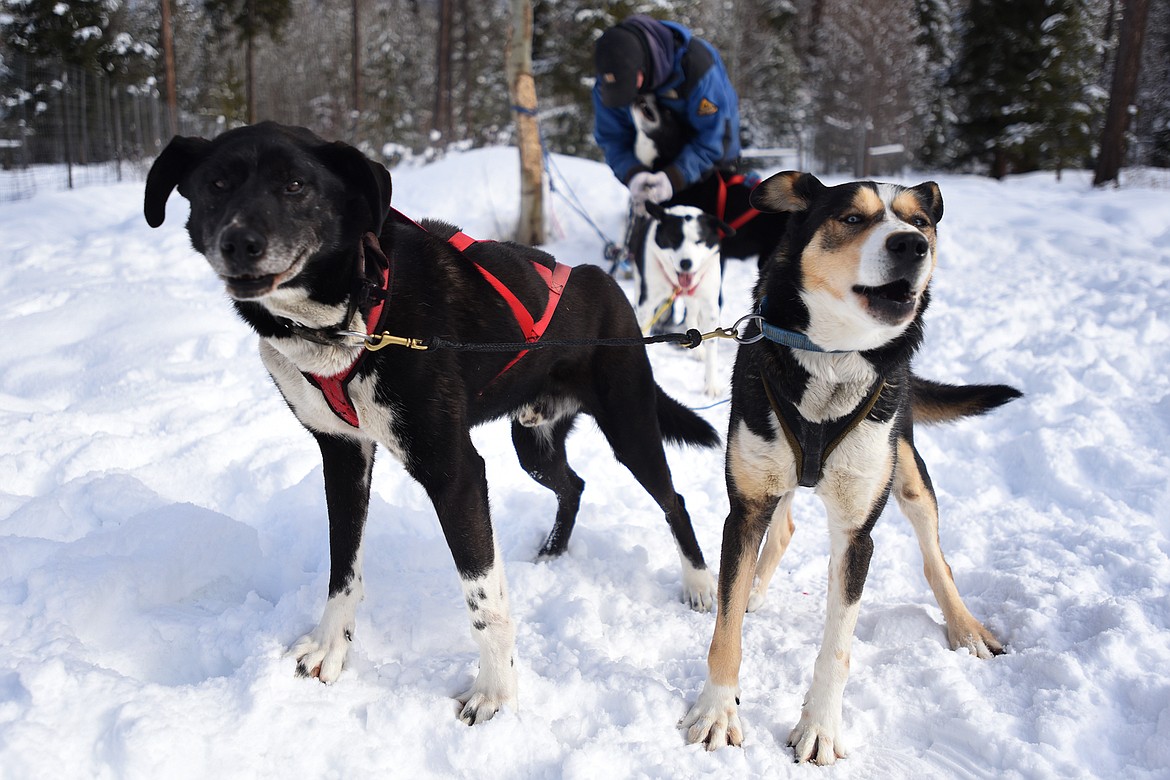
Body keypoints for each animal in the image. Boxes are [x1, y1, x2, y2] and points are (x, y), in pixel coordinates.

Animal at [140, 122, 716, 725]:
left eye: (295, 184)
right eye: (216, 184)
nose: (239, 242)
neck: (359, 308)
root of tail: (610, 287)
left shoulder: (454, 471)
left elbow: (484, 598)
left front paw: (495, 694)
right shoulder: (342, 454)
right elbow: (343, 567)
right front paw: (330, 647)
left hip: (630, 428)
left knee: (673, 499)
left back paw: (699, 584)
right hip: (531, 444)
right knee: (574, 485)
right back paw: (552, 554)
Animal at [641, 201, 730, 397]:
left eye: (699, 241)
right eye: (674, 239)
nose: (686, 263)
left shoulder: (709, 305)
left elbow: (712, 344)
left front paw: (711, 384)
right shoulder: (647, 302)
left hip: (695, 300)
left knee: (691, 316)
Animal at [683, 170, 1020, 762]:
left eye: (920, 221)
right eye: (852, 218)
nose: (912, 244)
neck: (834, 362)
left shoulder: (857, 532)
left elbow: (837, 647)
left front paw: (819, 727)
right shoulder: (746, 507)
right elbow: (725, 629)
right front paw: (718, 710)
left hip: (909, 474)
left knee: (937, 560)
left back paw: (966, 627)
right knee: (783, 527)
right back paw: (754, 591)